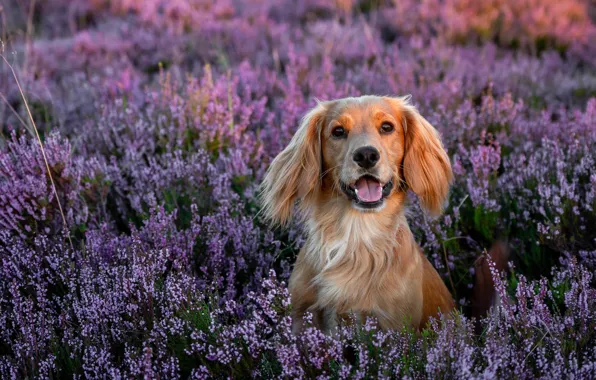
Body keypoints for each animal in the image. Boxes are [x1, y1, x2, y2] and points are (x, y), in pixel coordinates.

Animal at [260, 96, 502, 334]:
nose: (366, 155)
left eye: (387, 127)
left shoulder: (394, 326)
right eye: (338, 131)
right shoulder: (302, 318)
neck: (356, 234)